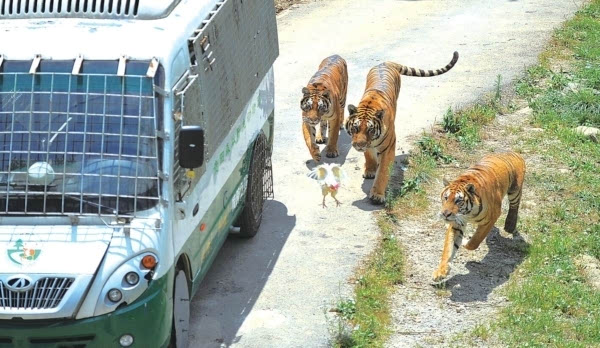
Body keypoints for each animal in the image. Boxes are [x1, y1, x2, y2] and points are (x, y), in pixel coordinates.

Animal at [342, 51, 460, 204]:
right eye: (355, 128)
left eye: (371, 130)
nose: (360, 145)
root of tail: (385, 63)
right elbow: (369, 155)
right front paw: (370, 169)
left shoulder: (387, 149)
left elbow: (383, 172)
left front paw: (377, 195)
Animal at [432, 151, 524, 282]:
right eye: (446, 198)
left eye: (458, 201)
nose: (445, 214)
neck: (467, 213)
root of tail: (511, 152)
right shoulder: (456, 223)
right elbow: (448, 249)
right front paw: (441, 272)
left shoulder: (492, 217)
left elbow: (475, 241)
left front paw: (465, 242)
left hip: (514, 189)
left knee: (515, 205)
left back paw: (510, 225)